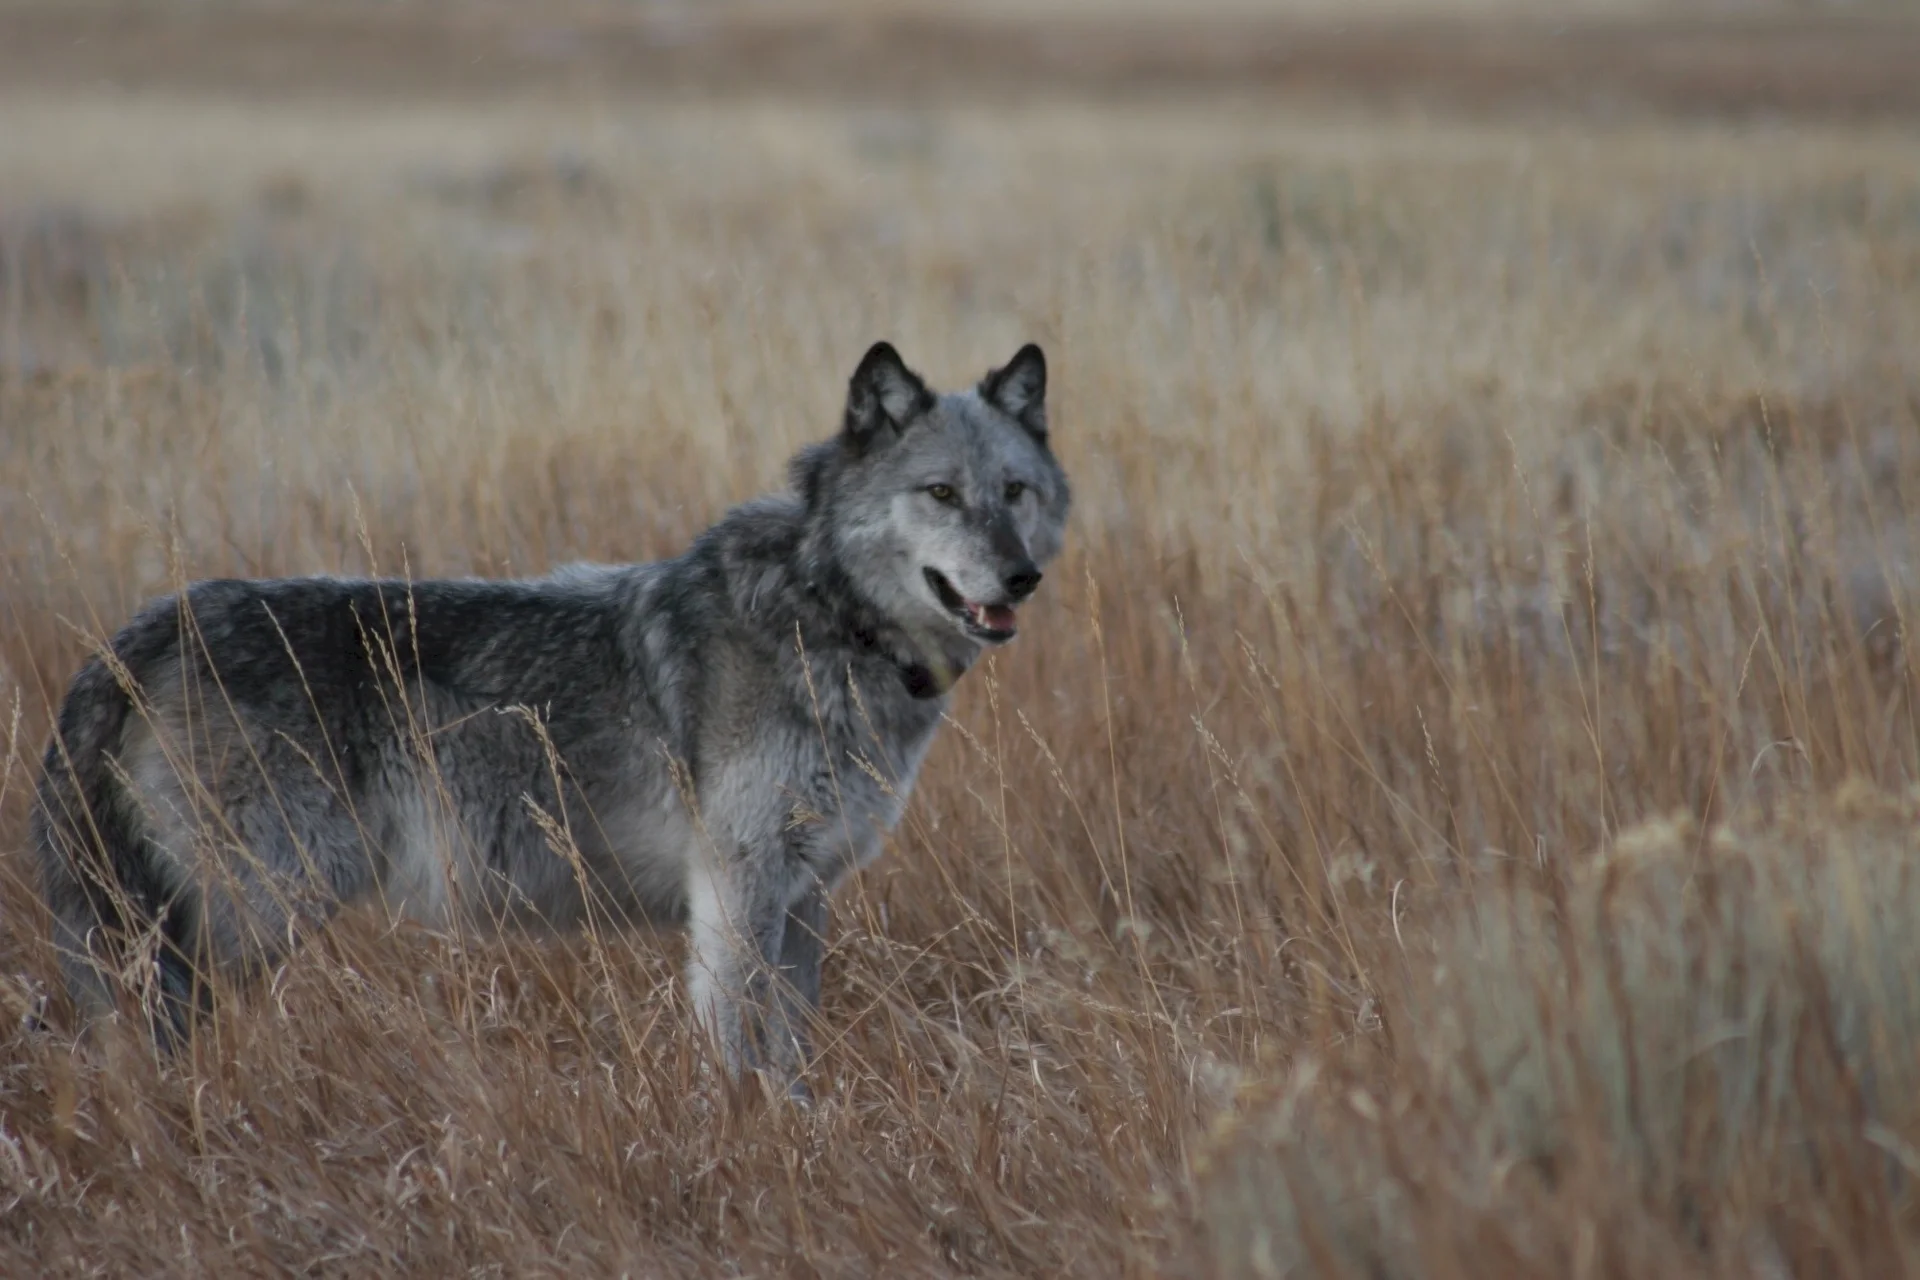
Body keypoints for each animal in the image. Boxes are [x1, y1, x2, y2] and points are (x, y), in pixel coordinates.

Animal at [31, 340, 1070, 1091]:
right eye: (941, 493)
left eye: (1014, 492)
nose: (1022, 576)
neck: (830, 617)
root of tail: (139, 632)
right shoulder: (736, 889)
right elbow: (742, 1049)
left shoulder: (803, 895)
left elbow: (791, 1051)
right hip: (251, 911)